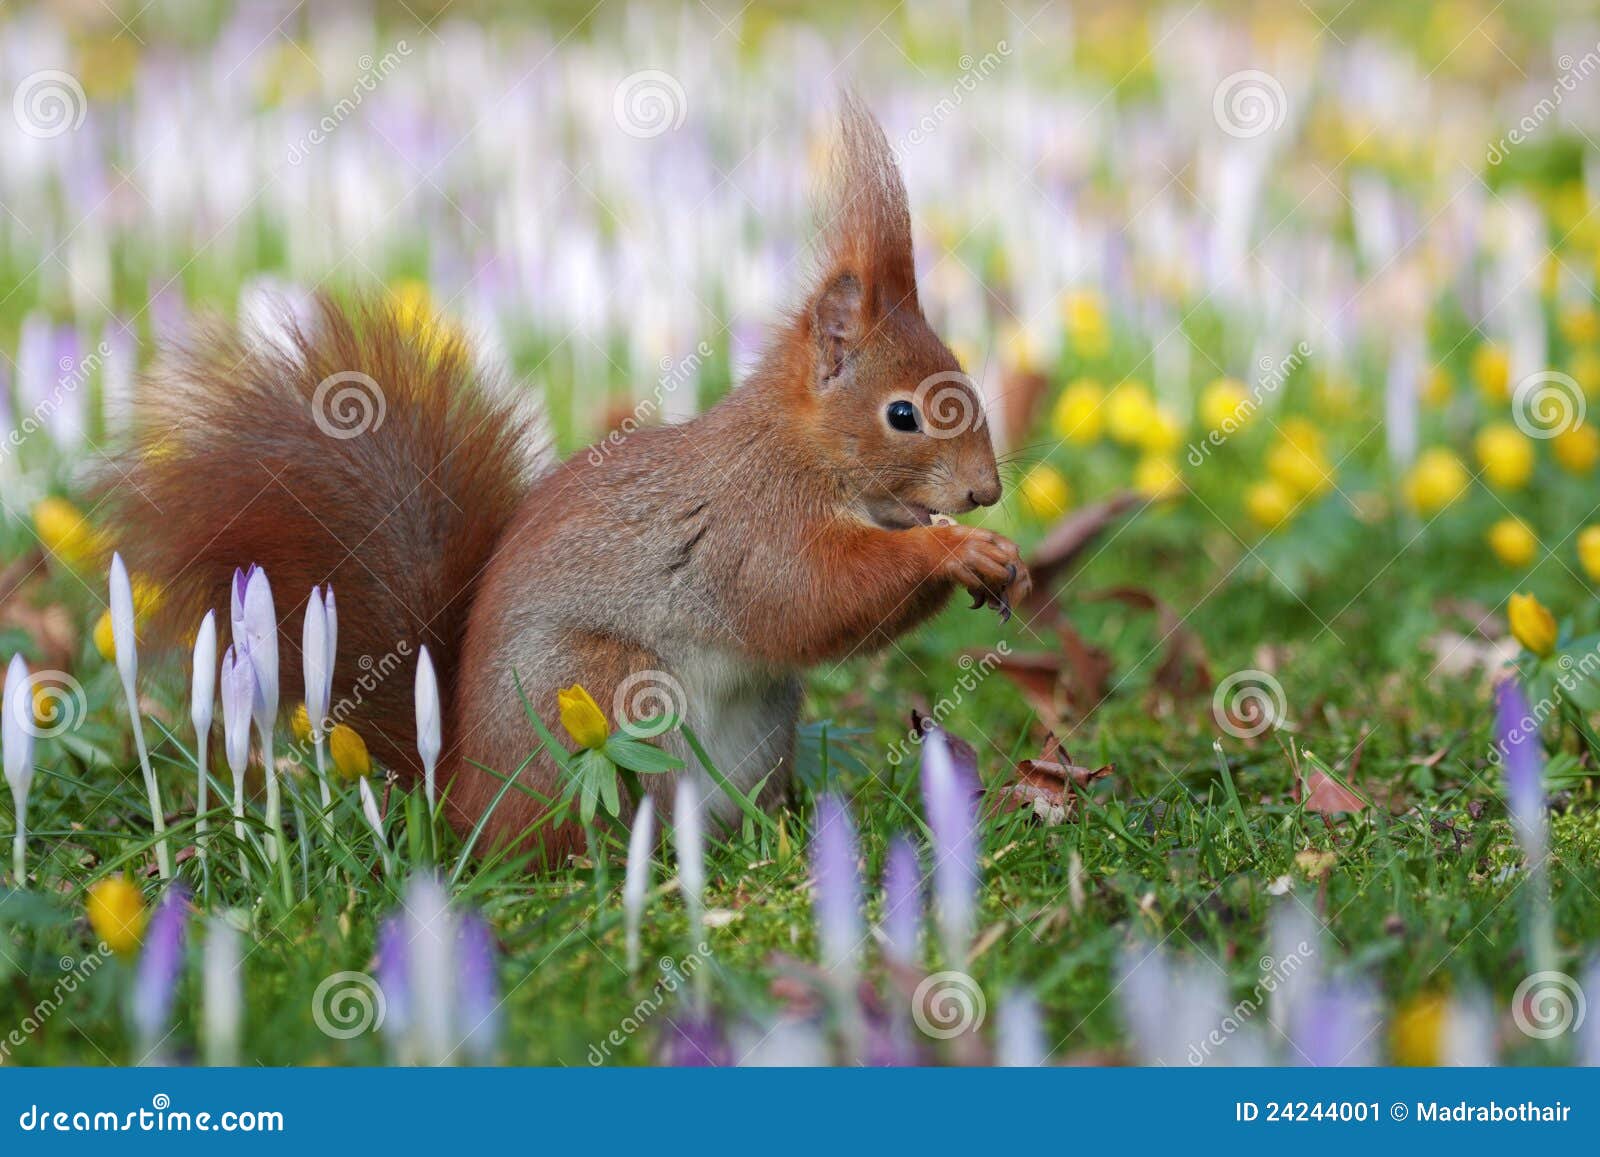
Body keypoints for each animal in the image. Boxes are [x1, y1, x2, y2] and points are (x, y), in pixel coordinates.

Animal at [106, 98, 1031, 862]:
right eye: (903, 415)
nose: (985, 492)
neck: (799, 450)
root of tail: (464, 797)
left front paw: (1002, 559)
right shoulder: (750, 523)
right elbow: (807, 595)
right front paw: (958, 551)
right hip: (594, 685)